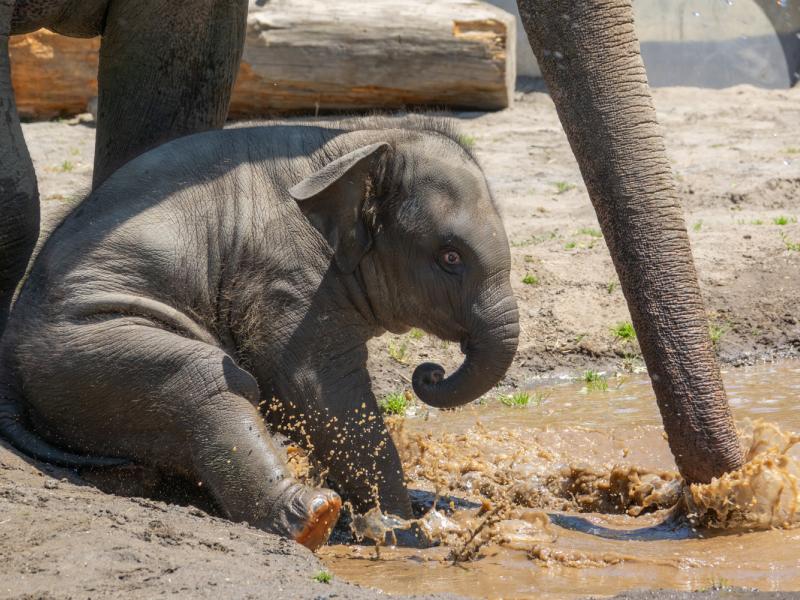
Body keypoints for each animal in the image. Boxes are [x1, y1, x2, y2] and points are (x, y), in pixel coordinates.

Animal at [0, 116, 520, 549]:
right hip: (78, 351)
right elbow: (319, 386)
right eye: (450, 257)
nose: (429, 372)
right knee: (203, 377)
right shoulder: (284, 279)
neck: (357, 140)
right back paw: (317, 516)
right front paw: (400, 527)